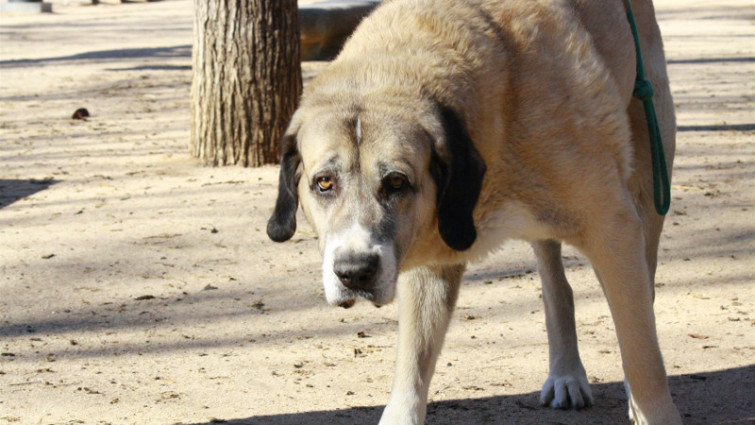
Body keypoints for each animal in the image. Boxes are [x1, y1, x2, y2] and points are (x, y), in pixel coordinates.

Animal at [268, 1, 684, 422]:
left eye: (397, 182)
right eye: (324, 183)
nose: (354, 273)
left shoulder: (613, 230)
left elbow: (642, 354)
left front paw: (649, 405)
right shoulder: (429, 259)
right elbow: (412, 367)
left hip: (649, 172)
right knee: (557, 288)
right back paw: (566, 373)